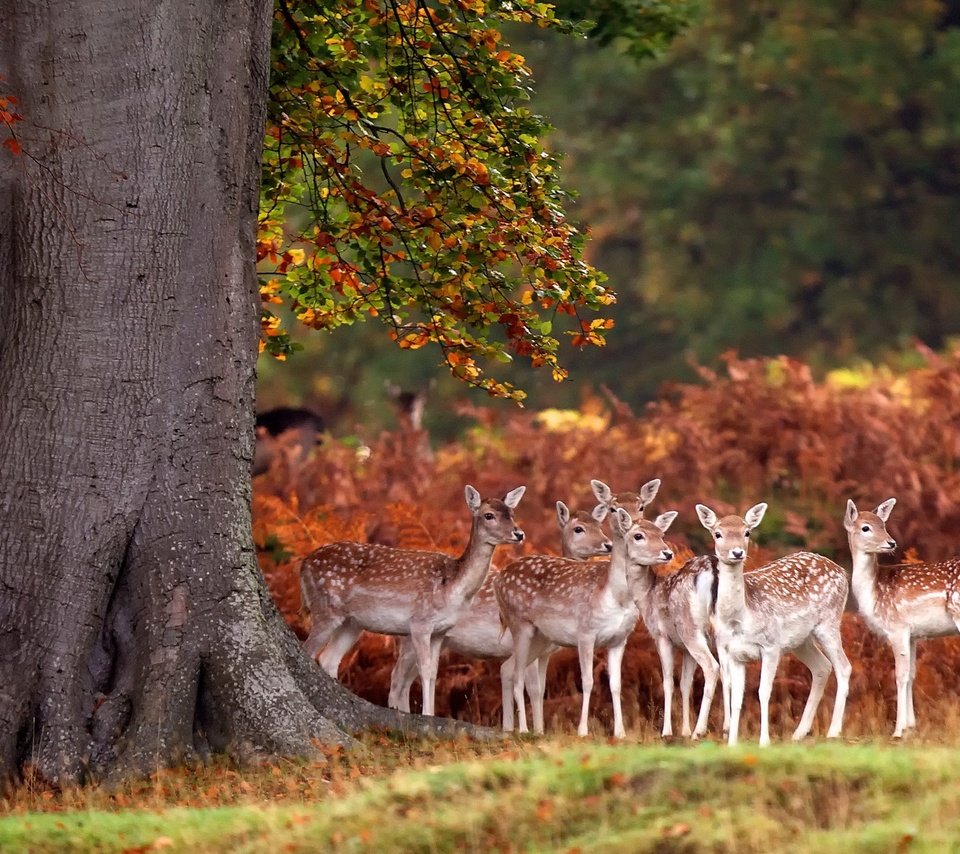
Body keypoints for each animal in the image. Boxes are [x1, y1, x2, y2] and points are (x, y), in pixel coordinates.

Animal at [300, 484, 524, 720]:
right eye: (488, 515)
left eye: (512, 513)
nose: (519, 533)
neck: (452, 588)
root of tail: (304, 564)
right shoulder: (420, 622)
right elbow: (424, 668)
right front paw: (427, 715)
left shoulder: (440, 631)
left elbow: (433, 672)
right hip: (325, 608)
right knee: (309, 649)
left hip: (352, 623)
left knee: (329, 658)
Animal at [386, 502, 612, 728]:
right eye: (578, 528)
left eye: (599, 525)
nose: (608, 544)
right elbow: (533, 688)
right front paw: (532, 730)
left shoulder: (544, 652)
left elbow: (538, 688)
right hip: (411, 636)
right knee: (397, 677)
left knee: (407, 680)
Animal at [496, 504, 676, 740]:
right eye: (638, 536)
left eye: (662, 535)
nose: (667, 552)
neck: (616, 597)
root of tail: (499, 579)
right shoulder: (585, 633)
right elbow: (588, 681)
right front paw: (582, 731)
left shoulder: (619, 639)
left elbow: (616, 684)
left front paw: (620, 732)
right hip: (520, 623)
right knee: (518, 674)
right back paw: (525, 730)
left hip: (541, 637)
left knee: (508, 668)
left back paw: (515, 729)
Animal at [700, 504, 852, 744]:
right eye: (717, 533)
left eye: (747, 532)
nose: (737, 552)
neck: (740, 619)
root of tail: (843, 572)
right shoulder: (733, 653)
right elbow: (736, 697)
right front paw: (732, 743)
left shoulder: (770, 645)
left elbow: (763, 692)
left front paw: (764, 741)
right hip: (800, 640)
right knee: (822, 667)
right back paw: (799, 733)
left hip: (829, 622)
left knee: (843, 666)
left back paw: (833, 731)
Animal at [844, 498, 960, 740]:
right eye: (866, 527)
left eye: (883, 524)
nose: (891, 543)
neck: (874, 593)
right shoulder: (913, 634)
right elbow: (912, 674)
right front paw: (910, 727)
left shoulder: (897, 627)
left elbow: (900, 675)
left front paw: (898, 731)